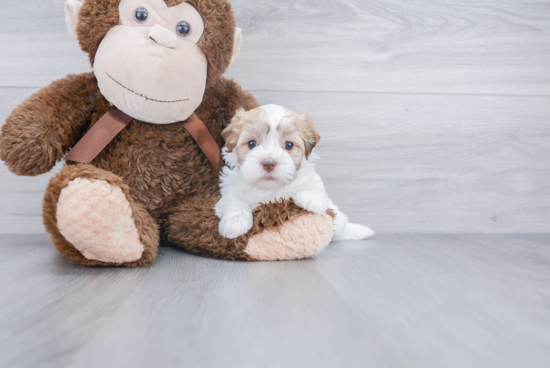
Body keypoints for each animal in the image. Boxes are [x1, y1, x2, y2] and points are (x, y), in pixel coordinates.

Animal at [216, 104, 376, 242]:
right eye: (251, 144)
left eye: (288, 145)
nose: (268, 162)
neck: (270, 189)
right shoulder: (228, 193)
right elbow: (234, 201)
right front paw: (235, 223)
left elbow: (314, 188)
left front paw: (312, 198)